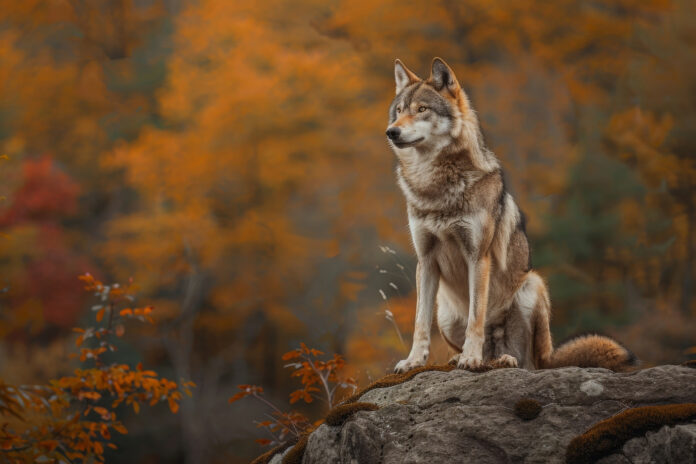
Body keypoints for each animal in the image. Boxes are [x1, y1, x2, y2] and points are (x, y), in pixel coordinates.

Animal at [386, 57, 636, 374]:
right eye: (399, 111)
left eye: (422, 109)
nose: (391, 131)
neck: (435, 185)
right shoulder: (425, 261)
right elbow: (420, 323)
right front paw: (413, 362)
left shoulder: (478, 257)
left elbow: (476, 318)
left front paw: (470, 358)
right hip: (445, 311)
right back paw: (466, 358)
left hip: (533, 287)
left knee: (528, 363)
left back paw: (502, 359)